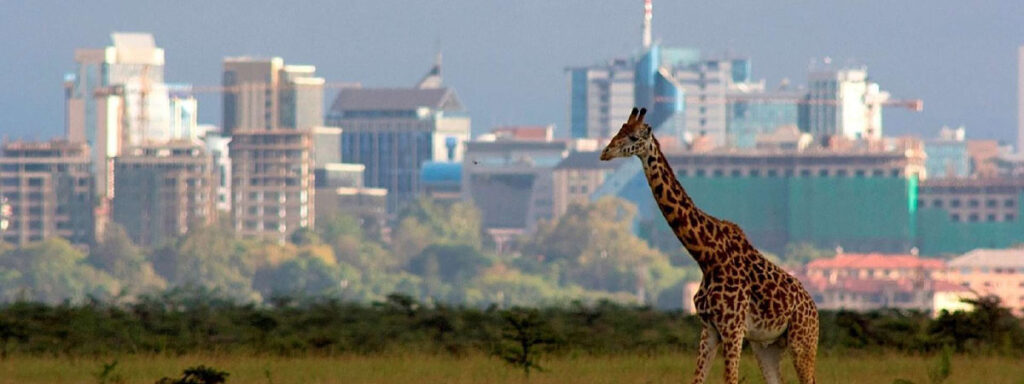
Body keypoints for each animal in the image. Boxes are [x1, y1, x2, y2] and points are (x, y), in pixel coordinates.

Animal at [598, 107, 815, 384]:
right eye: (620, 129)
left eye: (634, 137)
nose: (605, 152)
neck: (707, 256)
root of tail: (814, 308)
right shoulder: (709, 328)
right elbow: (697, 379)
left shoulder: (733, 328)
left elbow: (731, 379)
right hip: (767, 345)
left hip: (803, 340)